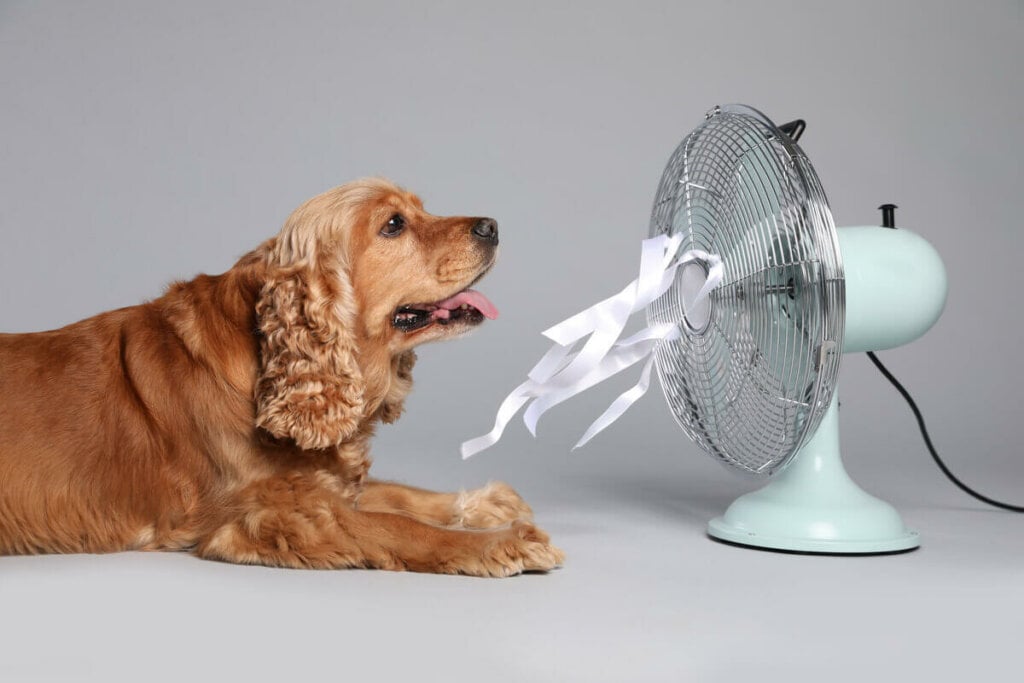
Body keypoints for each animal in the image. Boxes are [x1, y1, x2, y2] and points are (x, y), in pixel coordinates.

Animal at [0, 178, 561, 577]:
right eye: (394, 224)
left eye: (420, 209)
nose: (491, 225)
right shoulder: (268, 516)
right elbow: (395, 525)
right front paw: (501, 543)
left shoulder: (317, 482)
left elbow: (399, 493)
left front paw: (486, 504)